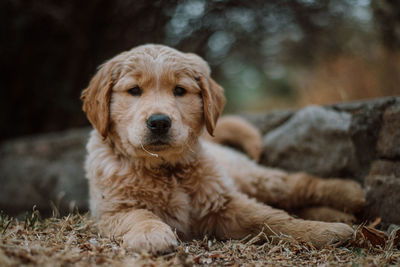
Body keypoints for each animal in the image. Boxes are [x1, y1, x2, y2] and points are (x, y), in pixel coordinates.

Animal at [81, 45, 366, 254]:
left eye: (179, 90)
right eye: (134, 90)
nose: (159, 122)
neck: (165, 169)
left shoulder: (224, 204)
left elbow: (272, 218)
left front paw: (321, 231)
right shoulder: (111, 210)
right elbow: (138, 215)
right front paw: (151, 234)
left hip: (250, 178)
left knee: (295, 185)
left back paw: (349, 194)